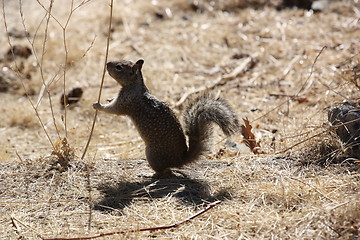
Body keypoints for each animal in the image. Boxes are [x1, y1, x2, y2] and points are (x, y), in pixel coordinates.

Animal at [93, 59, 240, 176]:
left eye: (119, 67)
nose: (107, 64)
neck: (134, 85)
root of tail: (179, 160)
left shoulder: (126, 102)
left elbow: (113, 109)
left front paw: (98, 105)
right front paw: (108, 98)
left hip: (152, 155)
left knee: (164, 172)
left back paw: (148, 174)